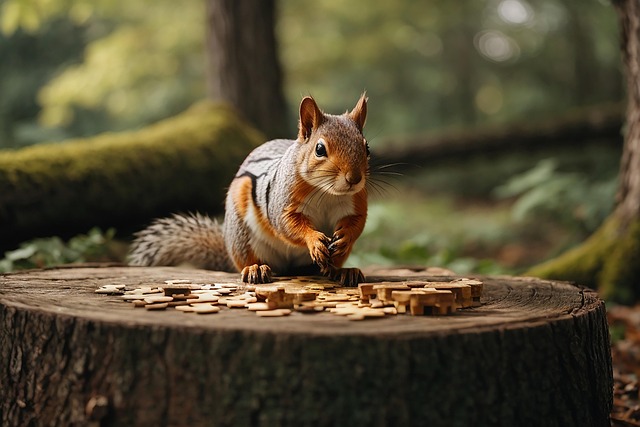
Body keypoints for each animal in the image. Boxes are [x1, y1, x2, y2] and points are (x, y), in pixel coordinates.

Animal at [128, 94, 370, 286]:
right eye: (319, 149)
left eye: (366, 147)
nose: (354, 179)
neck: (327, 192)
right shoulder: (282, 201)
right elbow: (287, 224)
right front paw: (313, 240)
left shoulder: (357, 202)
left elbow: (357, 222)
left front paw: (346, 236)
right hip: (244, 238)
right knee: (251, 260)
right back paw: (257, 269)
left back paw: (341, 271)